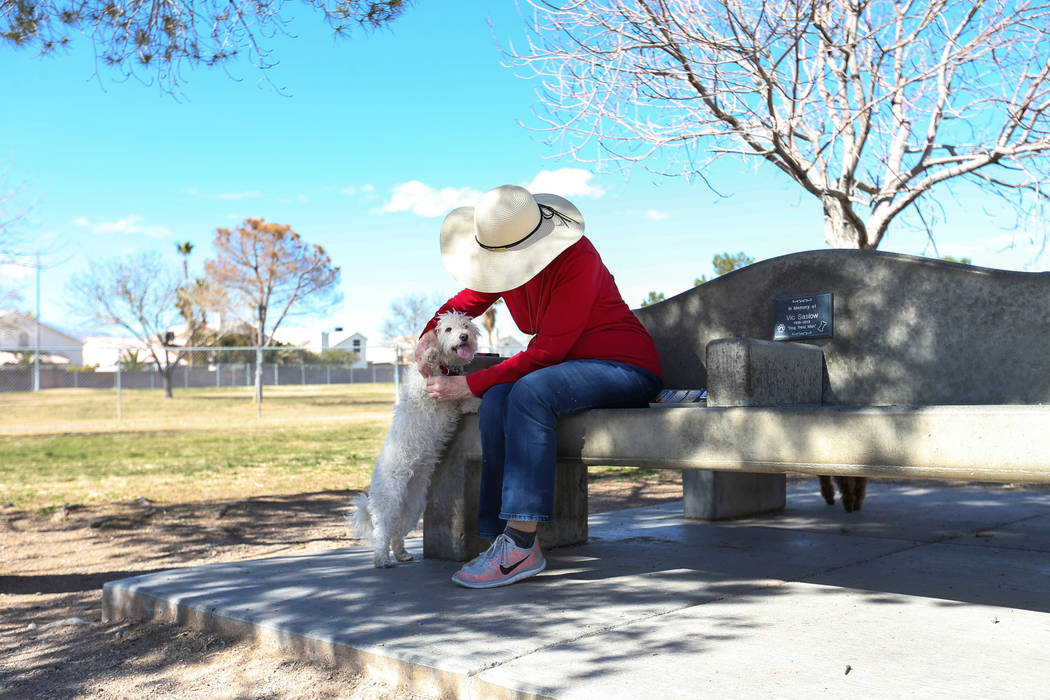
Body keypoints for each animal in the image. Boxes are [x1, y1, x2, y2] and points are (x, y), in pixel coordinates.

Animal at [352, 312, 482, 570]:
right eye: (448, 329)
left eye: (465, 326)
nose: (464, 336)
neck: (445, 369)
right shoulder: (423, 391)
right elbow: (428, 371)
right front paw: (429, 355)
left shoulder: (456, 401)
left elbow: (468, 401)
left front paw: (480, 400)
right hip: (389, 502)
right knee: (382, 534)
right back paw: (381, 560)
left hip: (412, 508)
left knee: (396, 534)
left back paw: (402, 554)